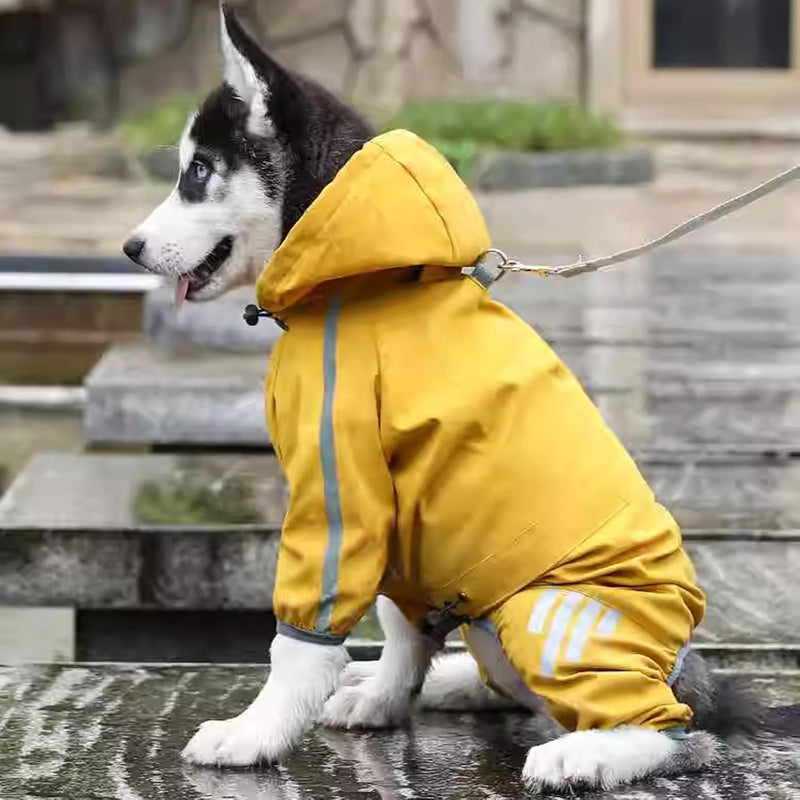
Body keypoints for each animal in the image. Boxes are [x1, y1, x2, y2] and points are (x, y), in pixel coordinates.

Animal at [122, 6, 760, 792]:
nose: (129, 248)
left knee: (674, 733)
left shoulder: (342, 488)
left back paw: (586, 752)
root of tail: (685, 671)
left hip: (553, 611)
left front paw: (256, 733)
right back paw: (456, 681)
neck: (360, 277)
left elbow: (300, 644)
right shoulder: (402, 516)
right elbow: (399, 628)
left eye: (198, 172)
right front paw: (385, 699)